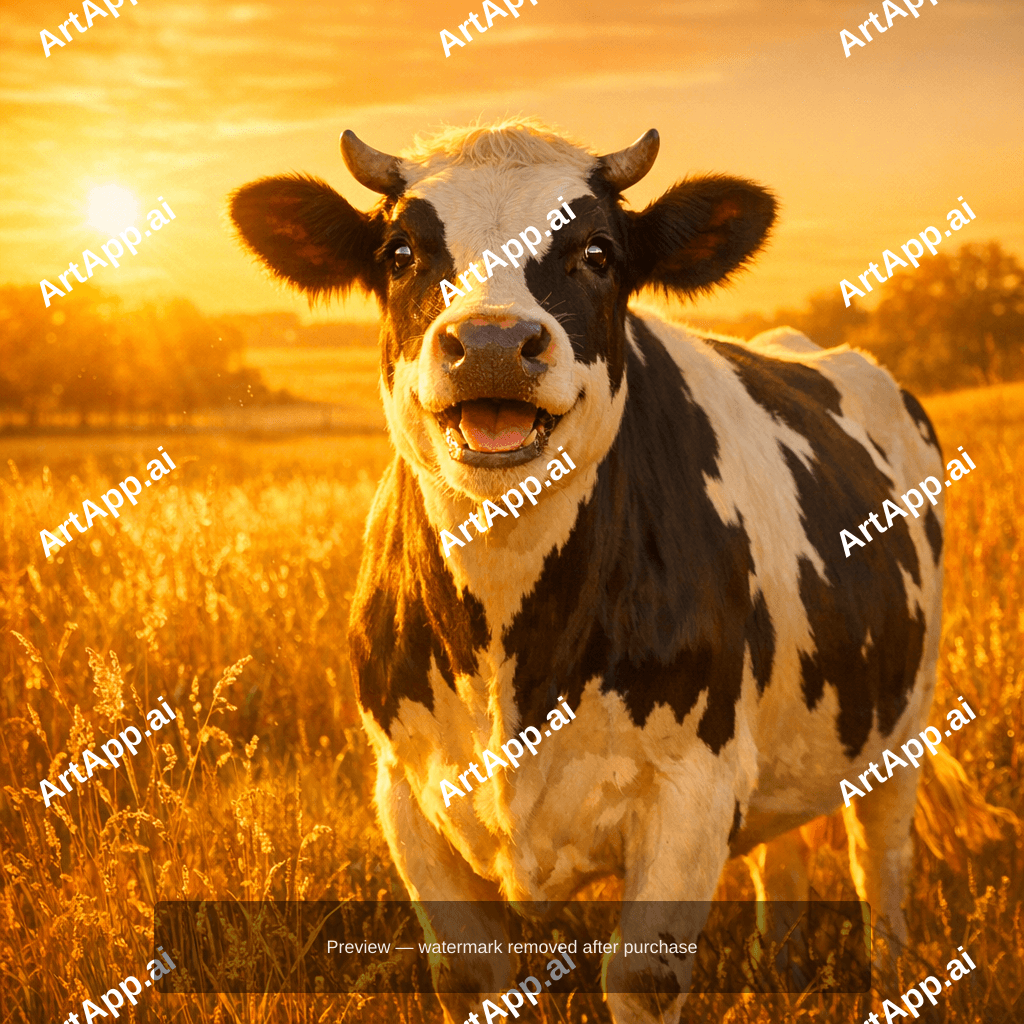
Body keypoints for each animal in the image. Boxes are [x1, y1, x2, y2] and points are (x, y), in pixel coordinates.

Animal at [229, 118, 945, 1023]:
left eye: (598, 253)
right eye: (399, 253)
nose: (492, 343)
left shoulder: (692, 786)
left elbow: (641, 976)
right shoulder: (405, 792)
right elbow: (471, 974)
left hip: (903, 725)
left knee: (881, 866)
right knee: (779, 858)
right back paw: (776, 967)